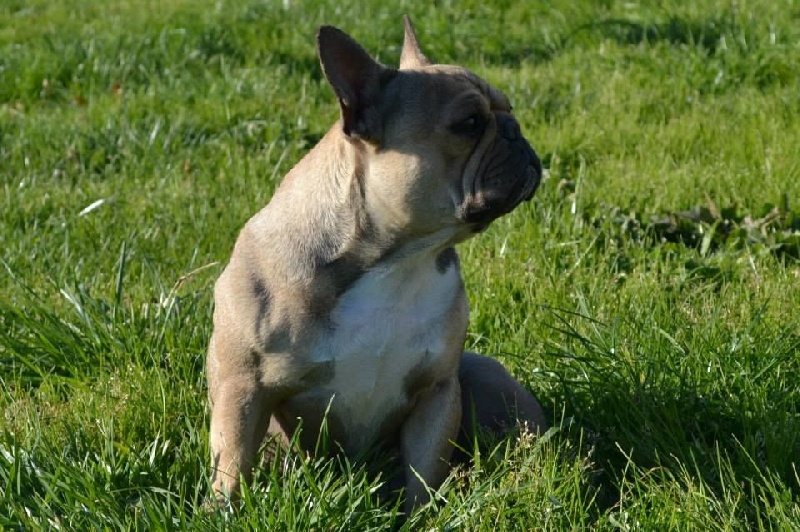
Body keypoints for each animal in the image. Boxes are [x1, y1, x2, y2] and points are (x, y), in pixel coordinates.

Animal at [206, 16, 544, 512]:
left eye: (508, 109)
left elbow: (424, 474)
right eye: (469, 123)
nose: (515, 129)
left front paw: (420, 516)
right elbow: (231, 465)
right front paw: (224, 510)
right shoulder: (243, 389)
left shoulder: (437, 391)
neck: (397, 261)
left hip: (483, 373)